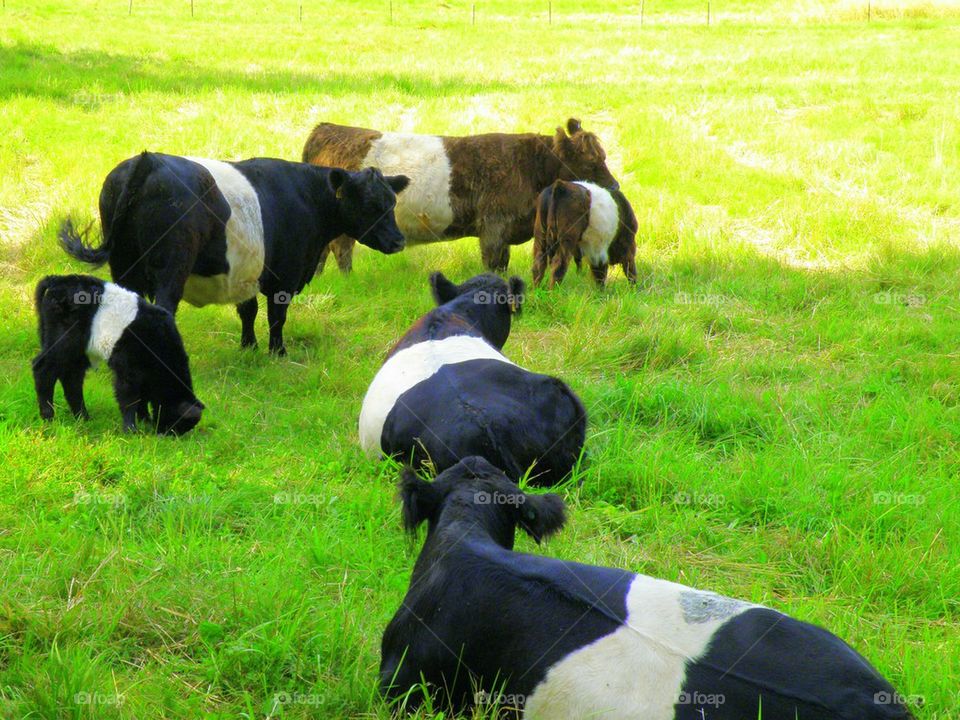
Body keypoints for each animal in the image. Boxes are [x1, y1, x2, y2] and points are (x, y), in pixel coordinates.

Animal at [32, 274, 204, 434]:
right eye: (178, 421)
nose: (166, 435)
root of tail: (57, 280)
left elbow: (142, 398)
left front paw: (145, 421)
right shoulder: (128, 369)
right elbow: (129, 397)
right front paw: (131, 430)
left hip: (78, 351)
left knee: (71, 378)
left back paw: (83, 418)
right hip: (63, 340)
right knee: (44, 369)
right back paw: (48, 417)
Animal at [60, 152, 409, 355]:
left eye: (392, 201)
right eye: (370, 204)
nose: (398, 241)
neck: (306, 196)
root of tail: (147, 161)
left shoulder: (246, 271)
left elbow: (248, 311)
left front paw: (248, 348)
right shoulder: (285, 277)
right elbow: (276, 317)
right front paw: (277, 353)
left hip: (124, 264)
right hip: (171, 266)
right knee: (163, 309)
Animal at [301, 118, 620, 272]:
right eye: (590, 162)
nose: (615, 186)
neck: (529, 166)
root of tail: (327, 128)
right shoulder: (494, 227)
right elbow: (493, 264)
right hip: (347, 228)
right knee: (341, 251)